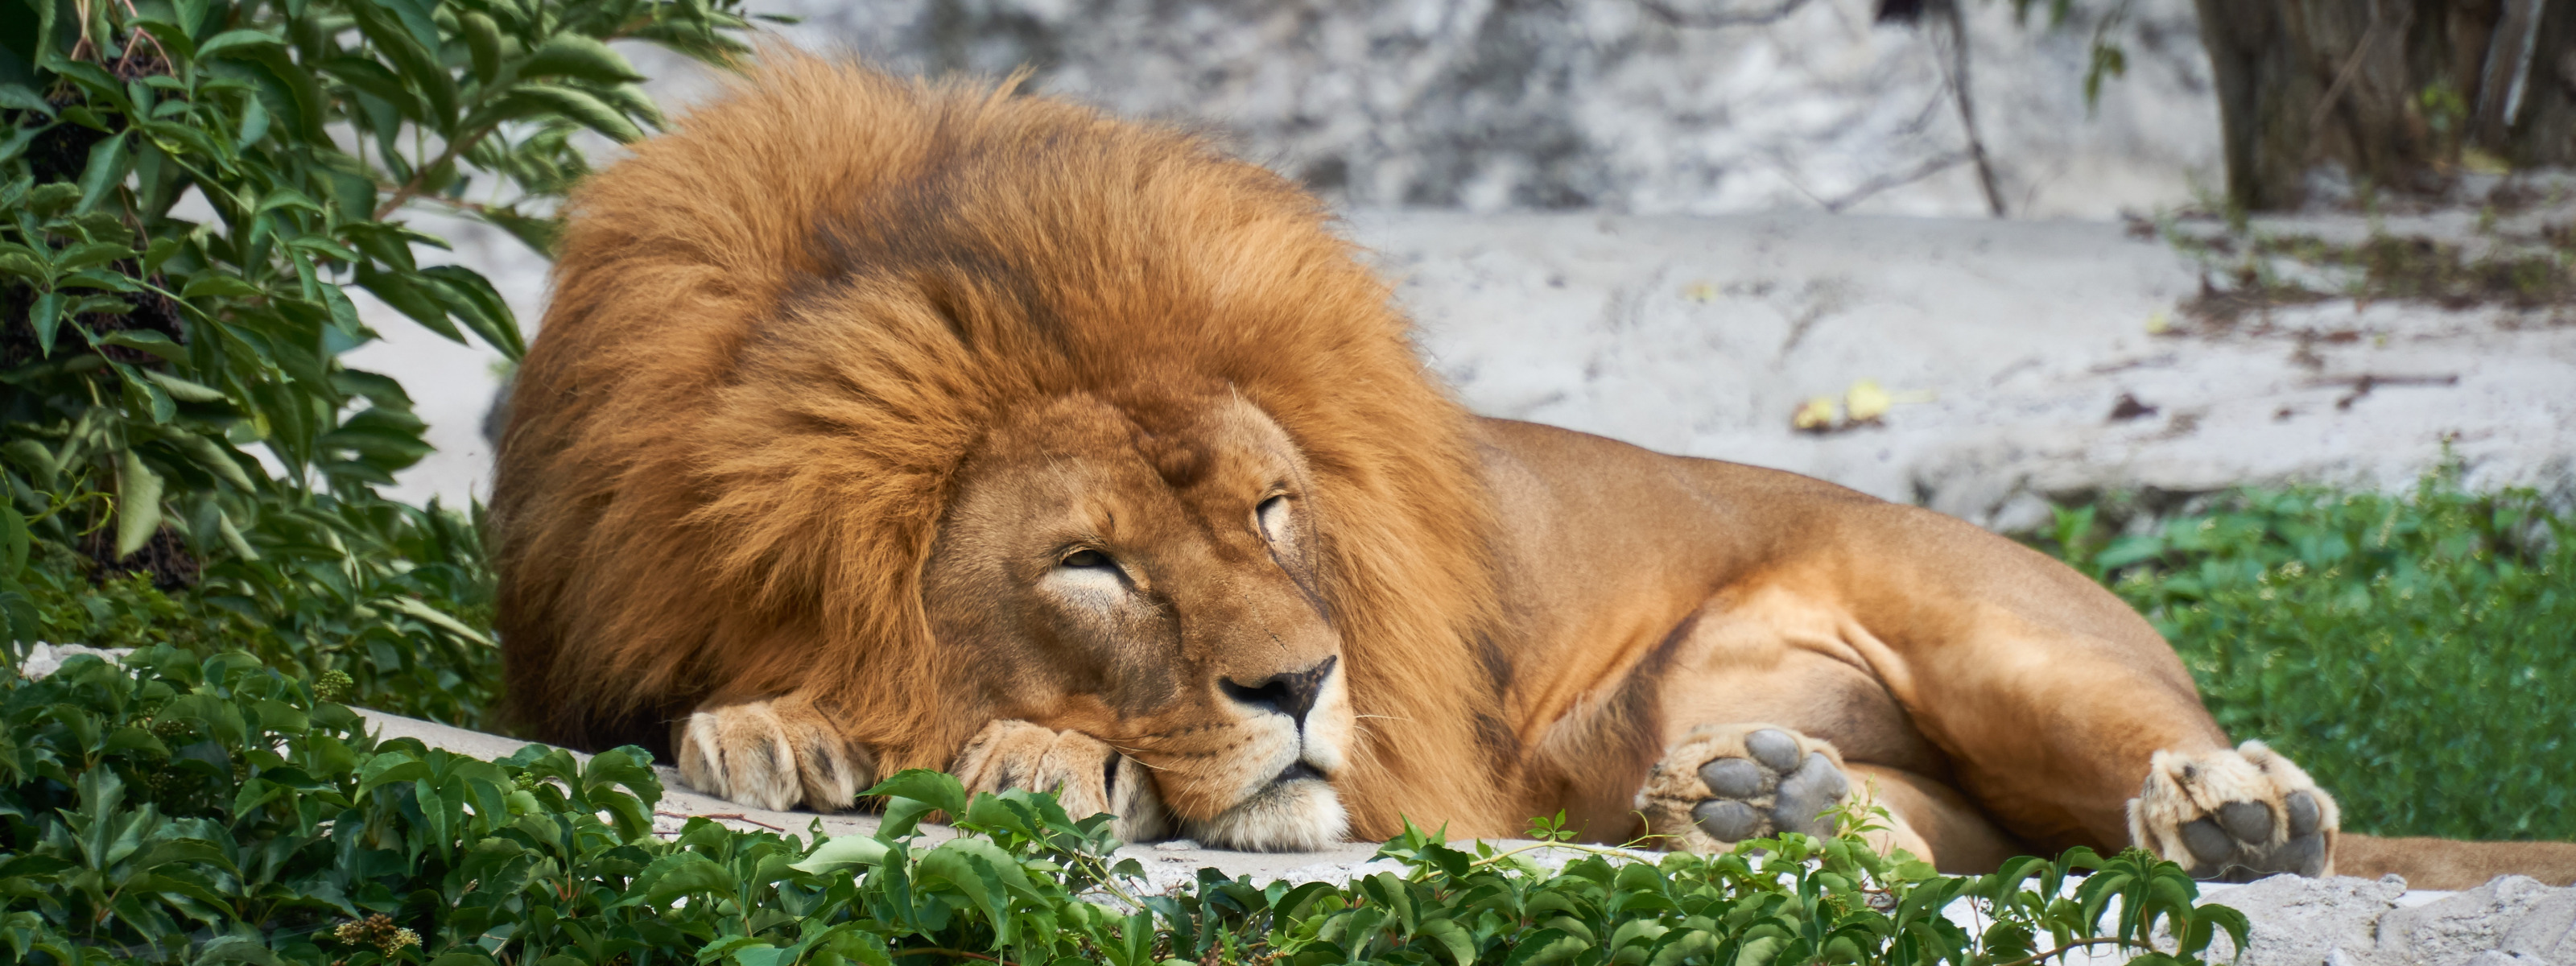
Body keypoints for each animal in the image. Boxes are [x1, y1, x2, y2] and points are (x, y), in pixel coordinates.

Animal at [492, 51, 2576, 886]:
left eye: (1271, 510)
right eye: (1093, 563)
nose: (1303, 682)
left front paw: (1031, 754)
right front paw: (773, 725)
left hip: (2007, 642)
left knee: (2157, 775)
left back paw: (2232, 816)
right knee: (1921, 836)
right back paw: (1763, 808)